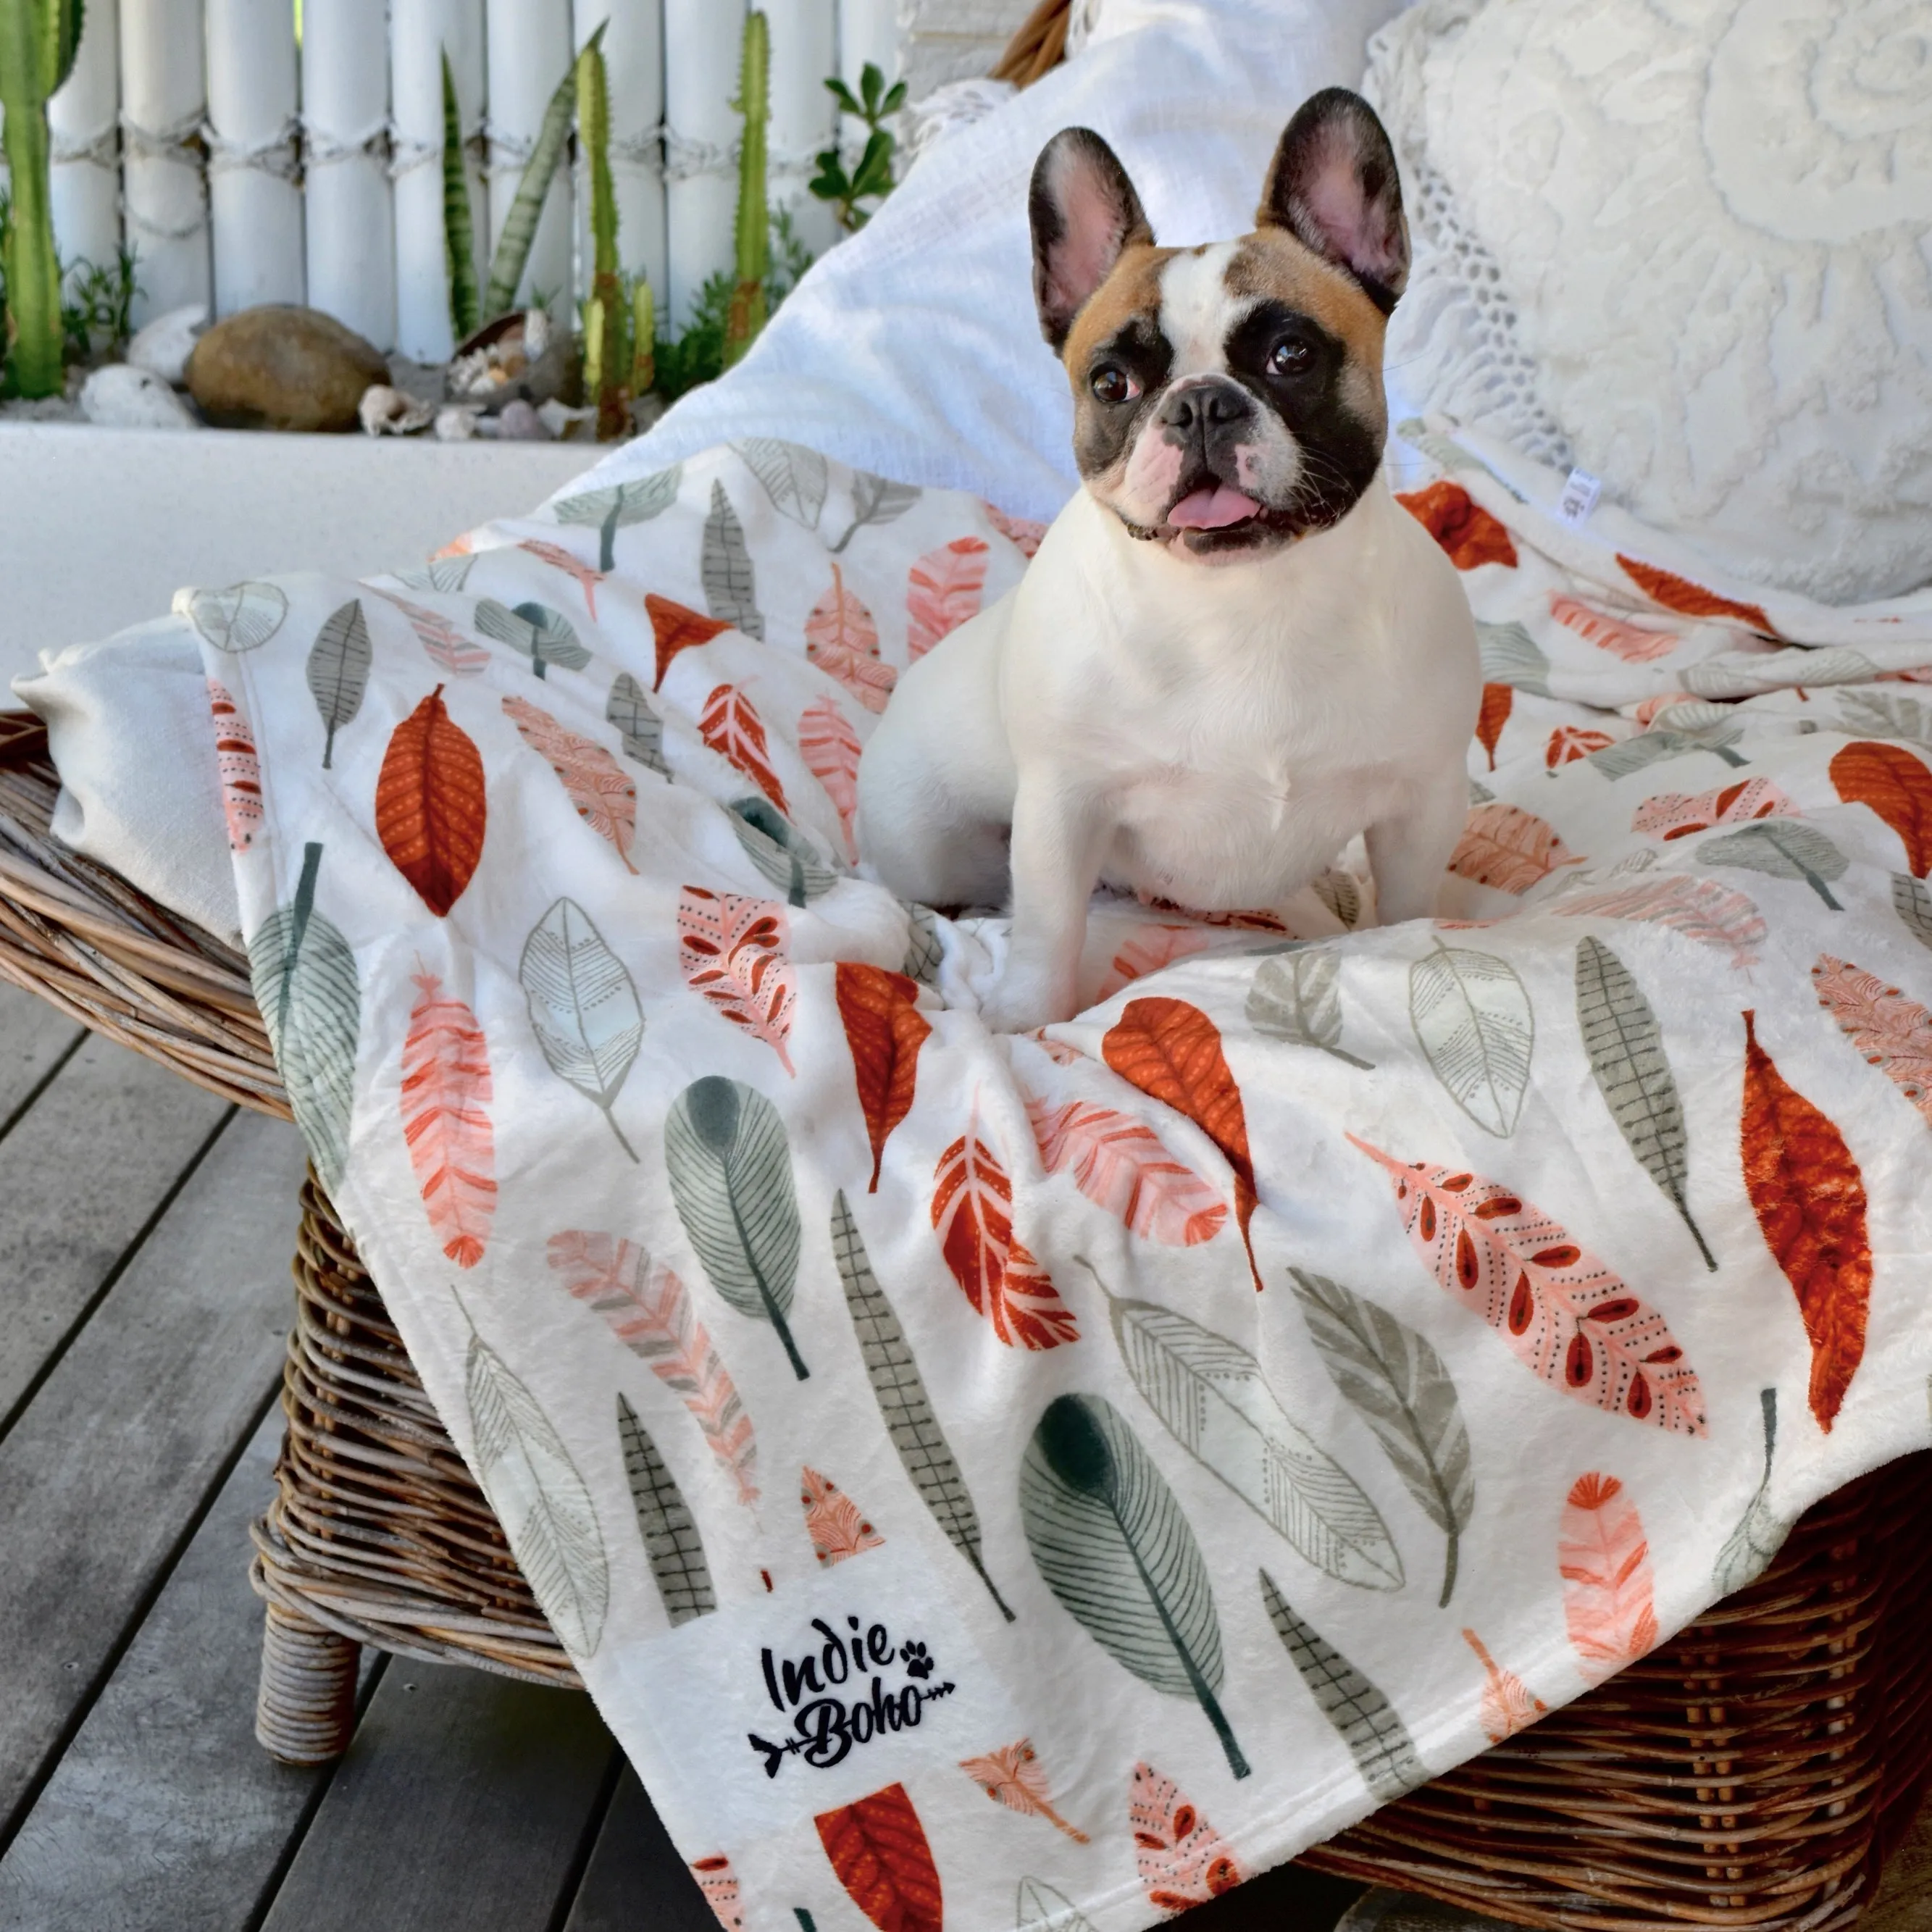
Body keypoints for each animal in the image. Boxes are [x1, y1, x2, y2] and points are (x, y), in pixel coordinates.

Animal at [861, 85, 1476, 1035]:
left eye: (1290, 355)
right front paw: (1023, 1021)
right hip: (925, 841)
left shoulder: (1424, 801)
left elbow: (1406, 905)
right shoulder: (1063, 806)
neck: (1246, 598)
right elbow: (1048, 926)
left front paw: (1395, 948)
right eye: (1111, 382)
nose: (1200, 405)